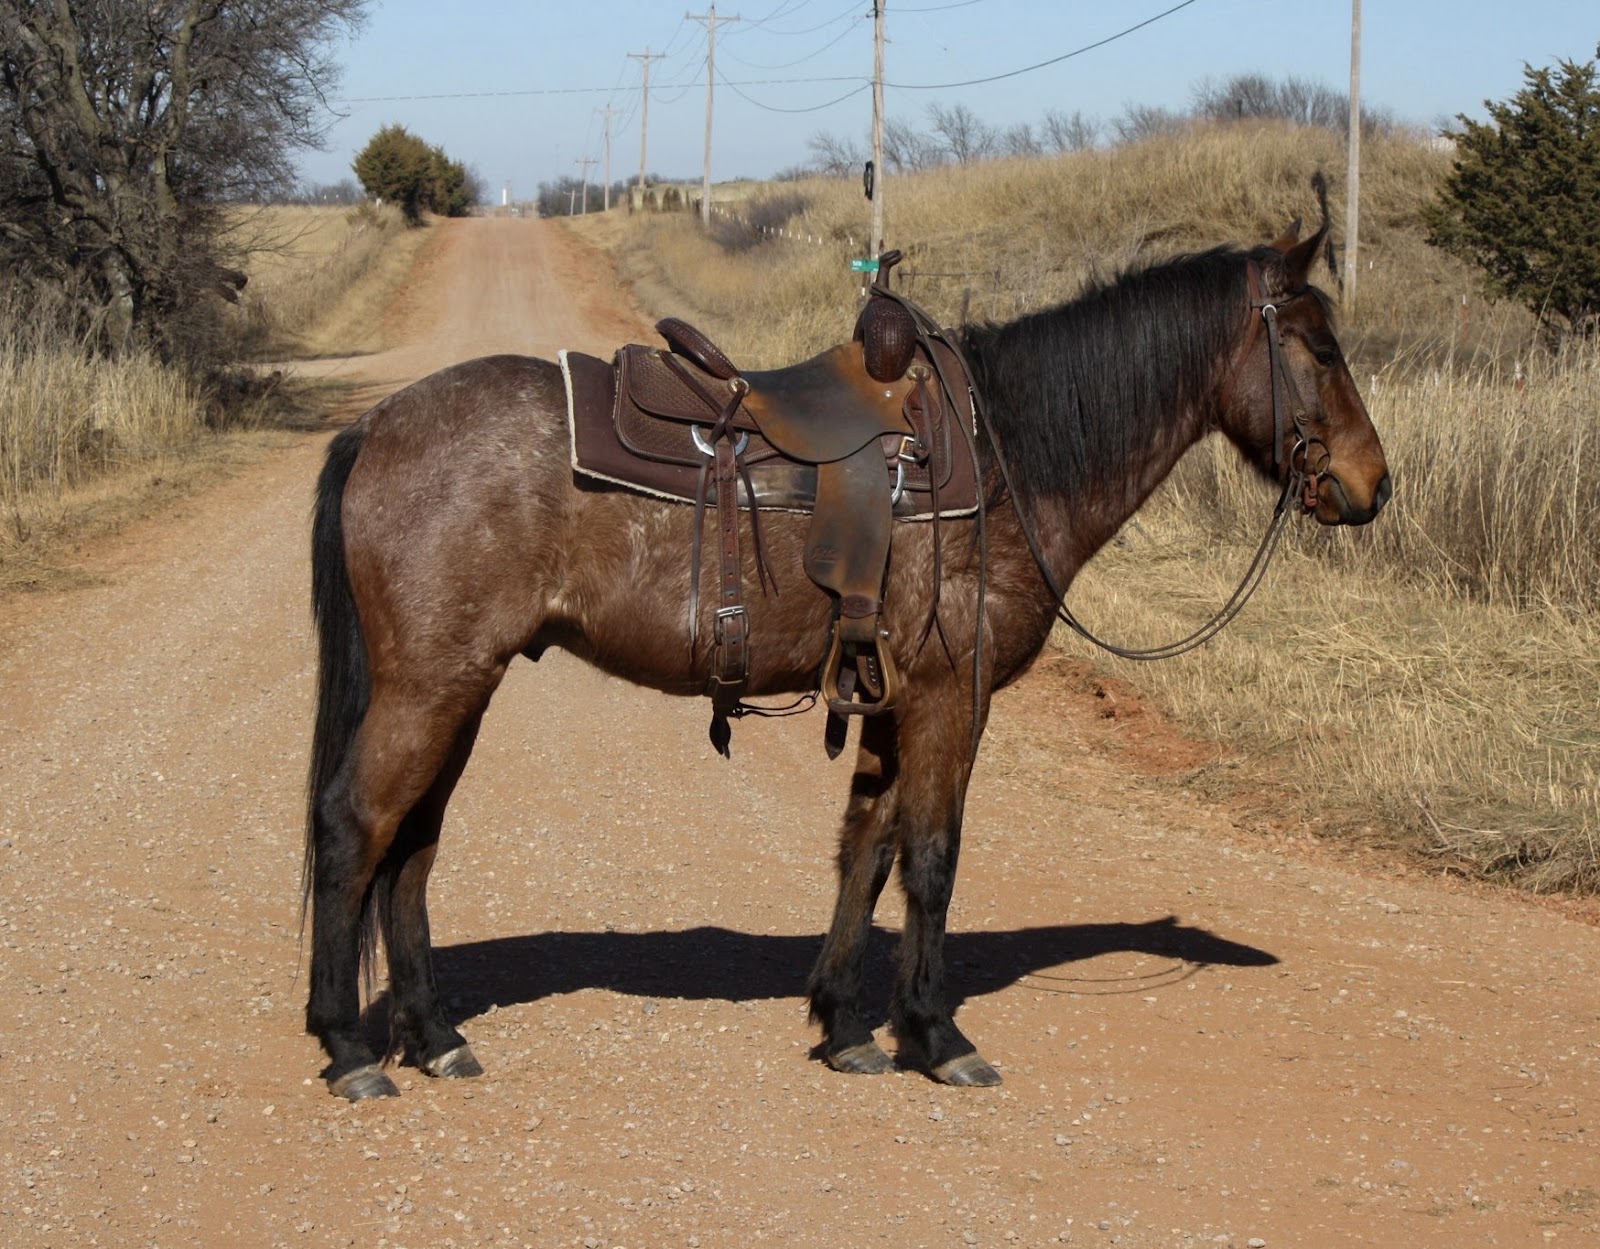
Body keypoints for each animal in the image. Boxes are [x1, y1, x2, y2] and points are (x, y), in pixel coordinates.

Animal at [302, 211, 1391, 1100]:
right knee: (355, 827)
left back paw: (433, 1034)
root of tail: (376, 424)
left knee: (411, 846)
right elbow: (933, 854)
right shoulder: (952, 697)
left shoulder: (889, 699)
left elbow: (866, 848)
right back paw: (349, 1046)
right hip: (430, 687)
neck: (1002, 459)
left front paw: (844, 1024)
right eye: (1320, 347)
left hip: (461, 686)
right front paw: (936, 1033)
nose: (1372, 484)